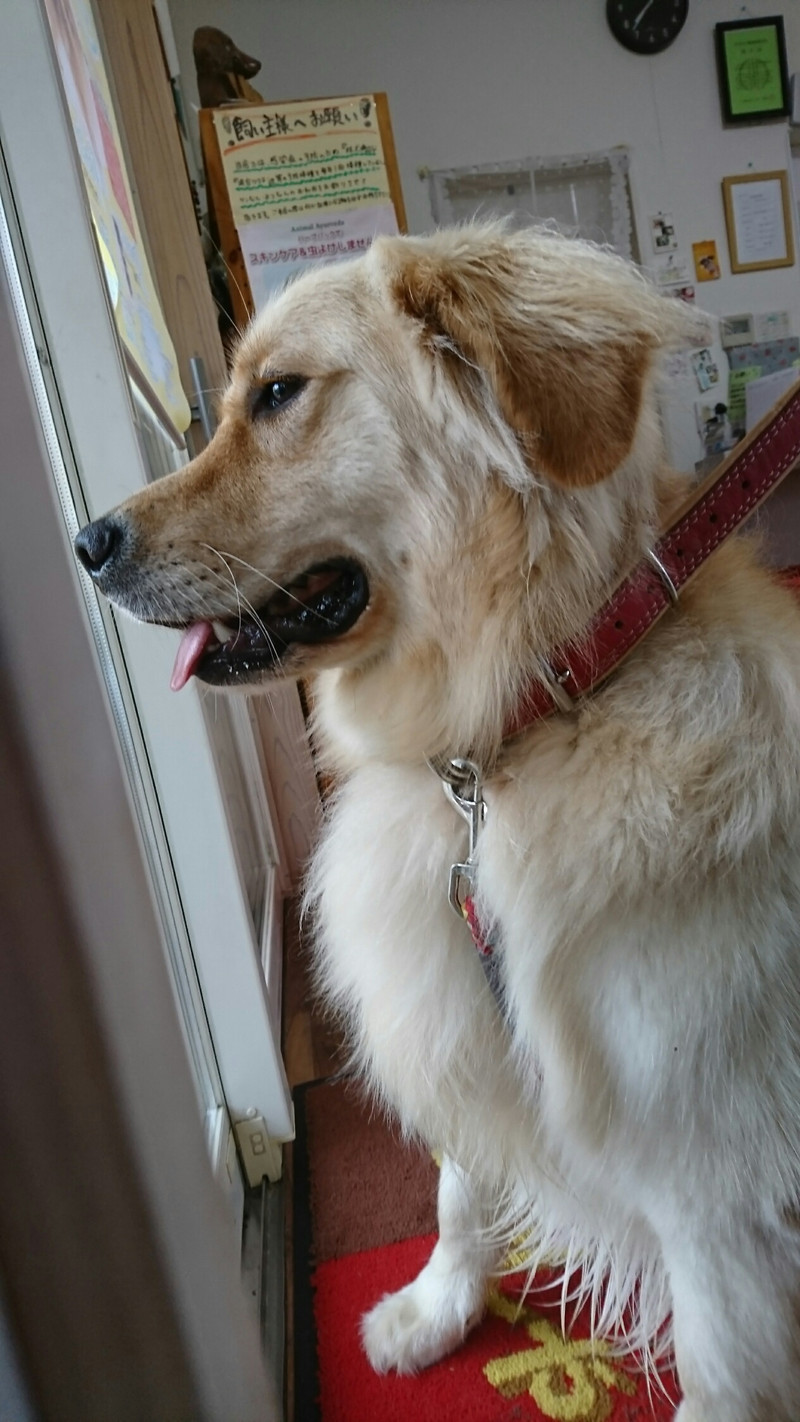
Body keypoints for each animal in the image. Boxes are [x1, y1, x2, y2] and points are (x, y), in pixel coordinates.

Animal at [75, 224, 800, 1420]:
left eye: (279, 394)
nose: (86, 544)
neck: (521, 727)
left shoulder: (715, 1191)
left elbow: (721, 1373)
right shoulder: (468, 1013)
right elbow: (460, 1189)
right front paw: (435, 1310)